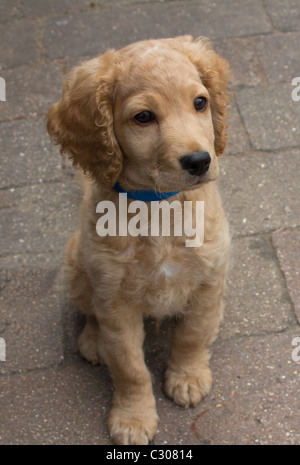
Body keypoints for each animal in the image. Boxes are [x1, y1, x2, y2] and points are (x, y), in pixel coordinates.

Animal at [46, 35, 230, 442]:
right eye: (143, 117)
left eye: (200, 103)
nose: (199, 161)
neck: (157, 207)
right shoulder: (115, 304)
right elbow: (129, 367)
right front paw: (133, 418)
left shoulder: (209, 280)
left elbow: (193, 334)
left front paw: (187, 376)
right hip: (76, 262)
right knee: (88, 311)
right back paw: (92, 341)